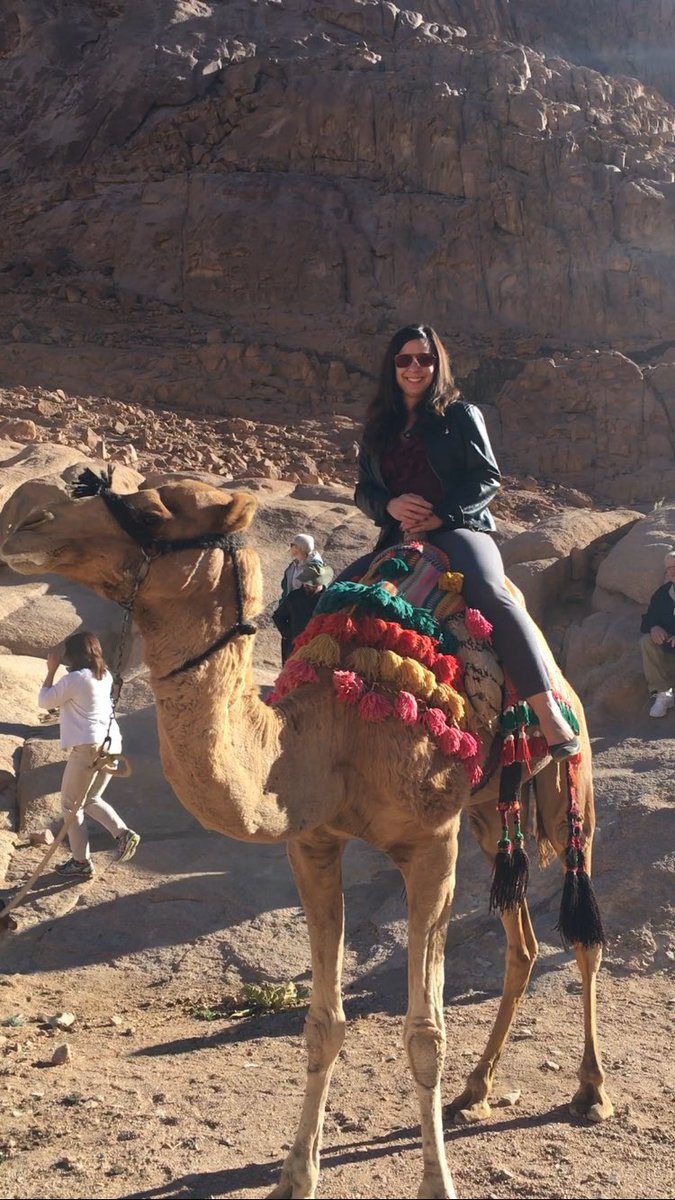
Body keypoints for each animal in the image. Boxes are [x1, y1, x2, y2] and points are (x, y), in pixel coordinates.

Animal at [0, 474, 613, 1200]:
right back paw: (475, 1090)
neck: (331, 736)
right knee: (520, 945)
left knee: (583, 931)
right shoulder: (313, 842)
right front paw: (295, 1175)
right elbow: (323, 1025)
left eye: (153, 511)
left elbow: (424, 1033)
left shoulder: (432, 843)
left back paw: (591, 1091)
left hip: (569, 785)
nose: (23, 510)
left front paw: (436, 1184)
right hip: (494, 810)